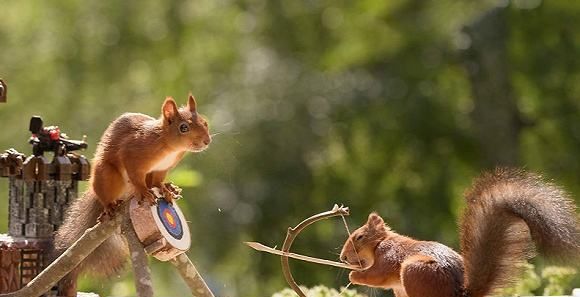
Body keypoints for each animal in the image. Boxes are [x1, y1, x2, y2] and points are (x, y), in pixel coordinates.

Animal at [54, 93, 211, 294]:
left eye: (204, 122)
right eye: (184, 127)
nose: (207, 141)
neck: (167, 144)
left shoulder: (162, 169)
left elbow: (157, 181)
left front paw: (164, 190)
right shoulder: (133, 154)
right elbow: (137, 178)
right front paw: (144, 191)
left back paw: (171, 188)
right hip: (107, 175)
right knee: (105, 194)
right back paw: (109, 206)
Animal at [340, 168, 580, 296]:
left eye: (359, 237)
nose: (342, 258)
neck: (380, 244)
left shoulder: (389, 254)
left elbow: (376, 274)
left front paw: (354, 275)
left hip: (415, 271)